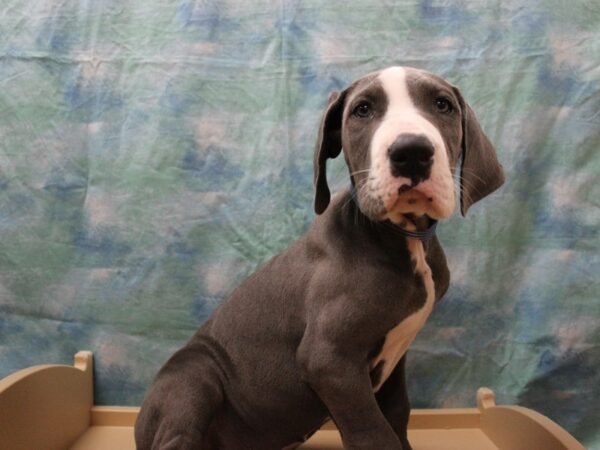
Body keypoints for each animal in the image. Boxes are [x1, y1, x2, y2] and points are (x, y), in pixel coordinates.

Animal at [134, 67, 504, 450]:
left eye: (443, 105)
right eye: (362, 110)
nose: (411, 151)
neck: (403, 237)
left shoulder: (394, 360)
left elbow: (398, 413)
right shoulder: (328, 358)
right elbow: (373, 432)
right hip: (195, 371)